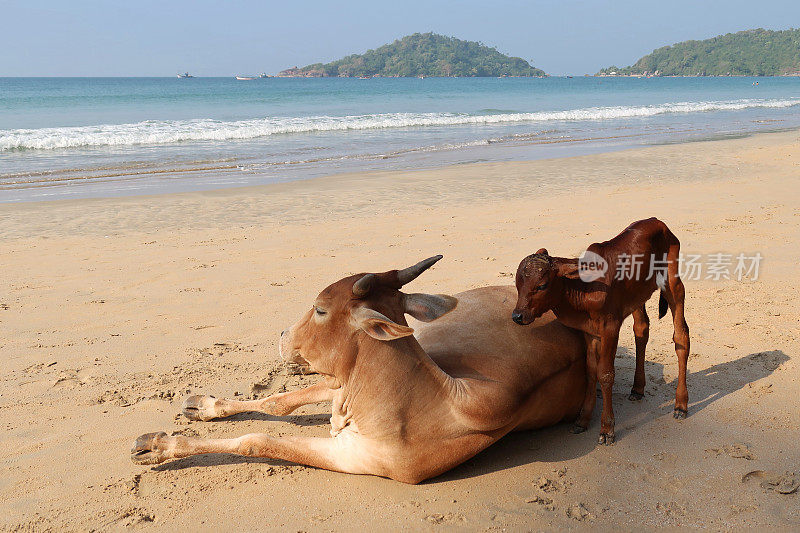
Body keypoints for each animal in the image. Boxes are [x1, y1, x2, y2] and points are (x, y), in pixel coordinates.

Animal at [131, 256, 588, 484]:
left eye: (319, 309)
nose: (282, 335)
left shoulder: (352, 458)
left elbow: (256, 441)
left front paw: (161, 445)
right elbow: (279, 407)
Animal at [516, 216, 692, 444]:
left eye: (542, 285)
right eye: (518, 283)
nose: (517, 316)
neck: (583, 288)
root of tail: (657, 221)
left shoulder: (610, 328)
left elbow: (606, 374)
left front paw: (607, 428)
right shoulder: (589, 332)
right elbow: (591, 371)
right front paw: (582, 420)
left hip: (673, 283)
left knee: (681, 336)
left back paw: (681, 404)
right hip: (637, 296)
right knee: (641, 330)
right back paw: (638, 388)